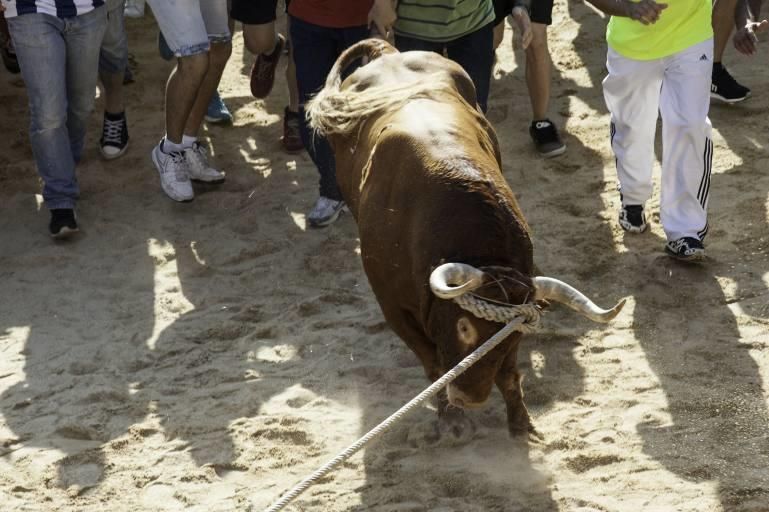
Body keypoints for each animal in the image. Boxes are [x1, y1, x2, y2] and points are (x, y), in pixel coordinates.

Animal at [308, 41, 624, 440]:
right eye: (463, 327)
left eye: (508, 337)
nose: (470, 399)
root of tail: (389, 53)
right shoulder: (394, 307)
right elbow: (432, 364)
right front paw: (451, 418)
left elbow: (509, 374)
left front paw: (520, 421)